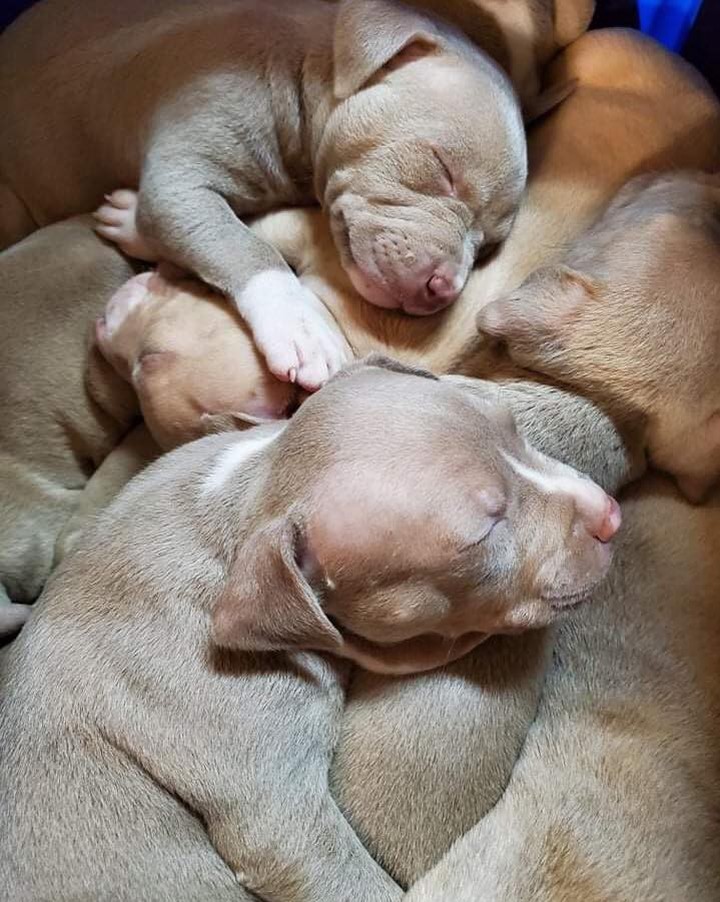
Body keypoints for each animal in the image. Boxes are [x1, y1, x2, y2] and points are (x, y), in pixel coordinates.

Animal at [0, 0, 528, 392]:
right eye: (442, 169)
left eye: (487, 245)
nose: (441, 289)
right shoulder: (183, 171)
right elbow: (243, 244)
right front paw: (301, 324)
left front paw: (129, 221)